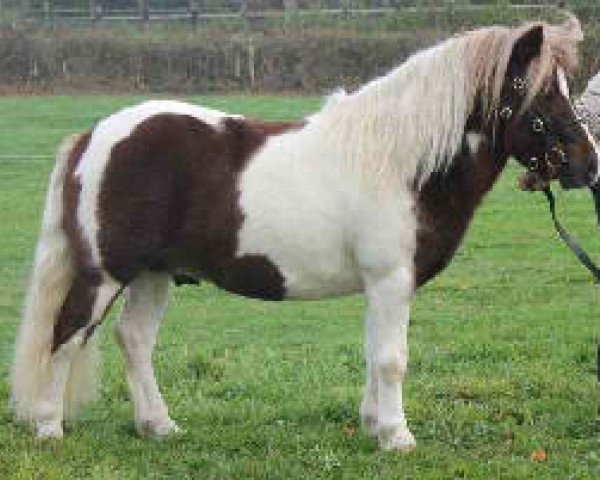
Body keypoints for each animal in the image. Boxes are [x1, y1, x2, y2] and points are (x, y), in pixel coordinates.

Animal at [10, 15, 600, 450]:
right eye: (542, 94)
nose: (586, 165)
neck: (399, 163)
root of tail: (94, 136)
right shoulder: (391, 279)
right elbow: (391, 359)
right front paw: (398, 437)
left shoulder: (382, 285)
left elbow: (373, 354)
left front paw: (374, 427)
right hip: (105, 273)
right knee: (67, 334)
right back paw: (49, 428)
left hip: (154, 274)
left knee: (133, 340)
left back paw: (159, 427)